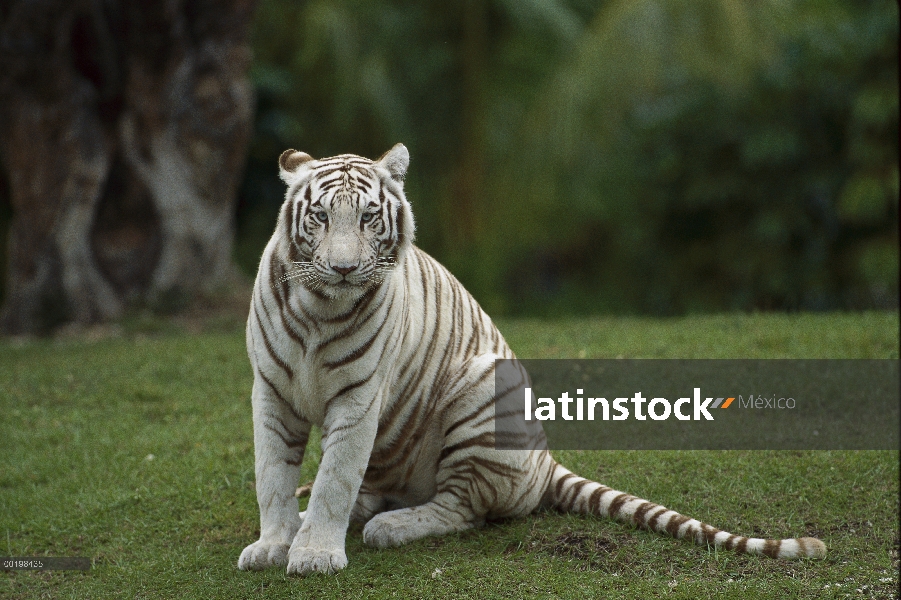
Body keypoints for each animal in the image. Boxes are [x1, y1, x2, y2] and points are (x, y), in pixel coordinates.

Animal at [237, 143, 824, 576]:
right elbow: (273, 474)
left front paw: (314, 555)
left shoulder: (359, 398)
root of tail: (546, 461)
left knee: (462, 509)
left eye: (367, 218)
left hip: (484, 392)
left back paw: (391, 527)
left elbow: (335, 477)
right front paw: (275, 544)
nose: (342, 269)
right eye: (319, 216)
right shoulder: (269, 390)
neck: (318, 307)